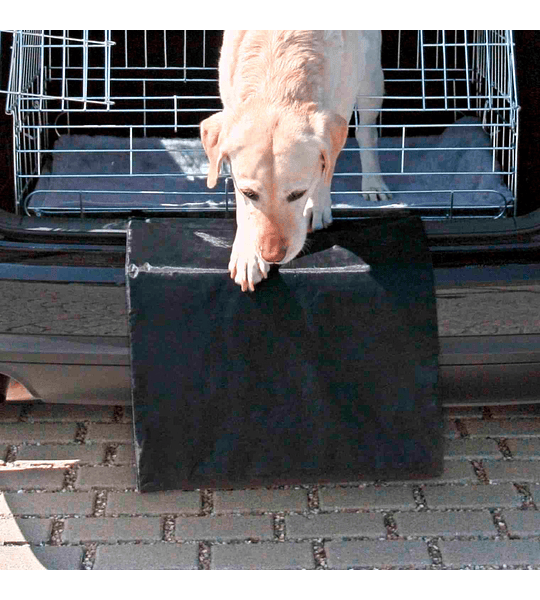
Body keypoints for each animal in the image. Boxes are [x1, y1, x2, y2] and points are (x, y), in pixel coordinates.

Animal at [198, 31, 388, 292]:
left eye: (298, 194)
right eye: (249, 193)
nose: (272, 256)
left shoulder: (342, 101)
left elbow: (326, 169)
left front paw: (318, 206)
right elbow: (243, 207)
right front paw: (248, 256)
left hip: (372, 76)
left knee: (366, 132)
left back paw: (373, 183)